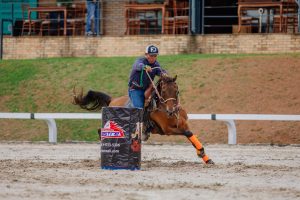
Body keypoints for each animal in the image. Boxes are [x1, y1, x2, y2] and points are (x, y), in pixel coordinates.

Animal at [72, 74, 213, 165]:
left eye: (176, 90)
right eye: (164, 91)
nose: (171, 110)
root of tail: (112, 100)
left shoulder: (183, 124)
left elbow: (191, 135)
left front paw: (205, 157)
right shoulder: (167, 130)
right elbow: (187, 133)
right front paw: (201, 153)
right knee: (102, 132)